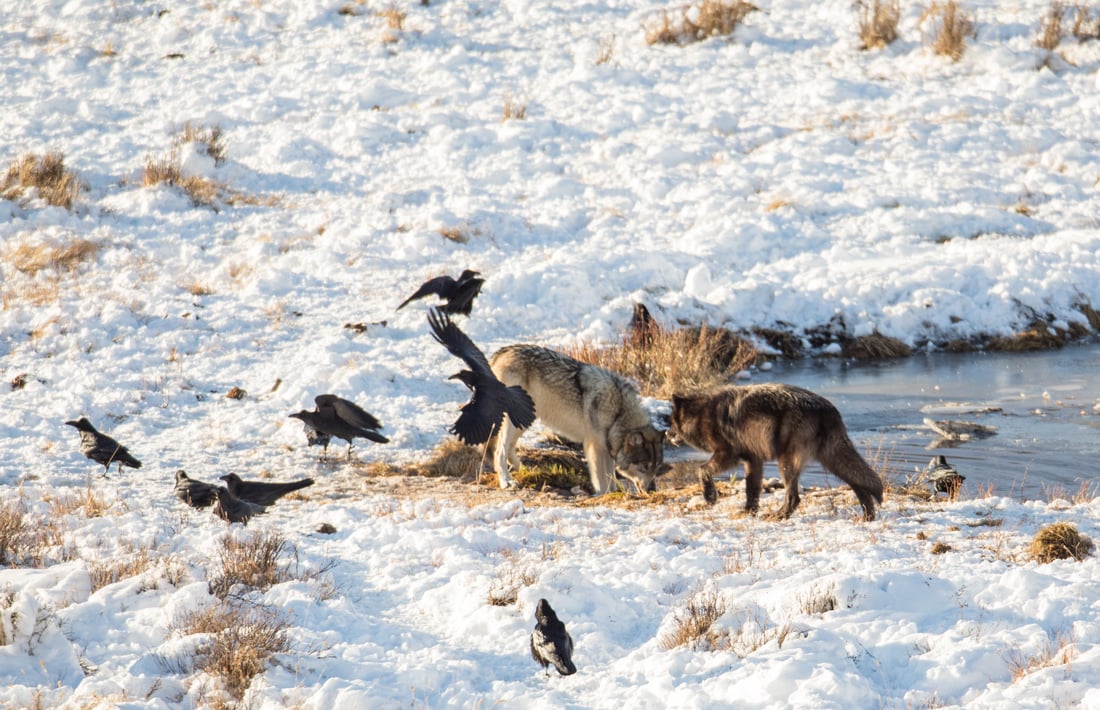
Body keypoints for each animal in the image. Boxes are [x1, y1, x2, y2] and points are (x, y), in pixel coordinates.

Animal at [492, 343, 664, 493]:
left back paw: (526, 471)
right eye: (644, 466)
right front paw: (604, 495)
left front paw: (614, 492)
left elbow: (611, 477)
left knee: (510, 448)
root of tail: (500, 353)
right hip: (512, 423)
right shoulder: (595, 447)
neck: (618, 412)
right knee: (499, 451)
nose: (653, 490)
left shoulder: (607, 450)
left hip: (525, 421)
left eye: (656, 468)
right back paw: (506, 482)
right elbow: (602, 481)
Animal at [660, 383, 884, 519]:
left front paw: (710, 497)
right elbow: (752, 489)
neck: (703, 414)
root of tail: (828, 410)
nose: (666, 434)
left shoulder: (727, 455)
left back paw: (779, 516)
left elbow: (702, 469)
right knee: (859, 483)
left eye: (672, 422)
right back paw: (867, 516)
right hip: (832, 460)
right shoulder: (753, 460)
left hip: (786, 464)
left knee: (794, 497)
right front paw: (749, 512)